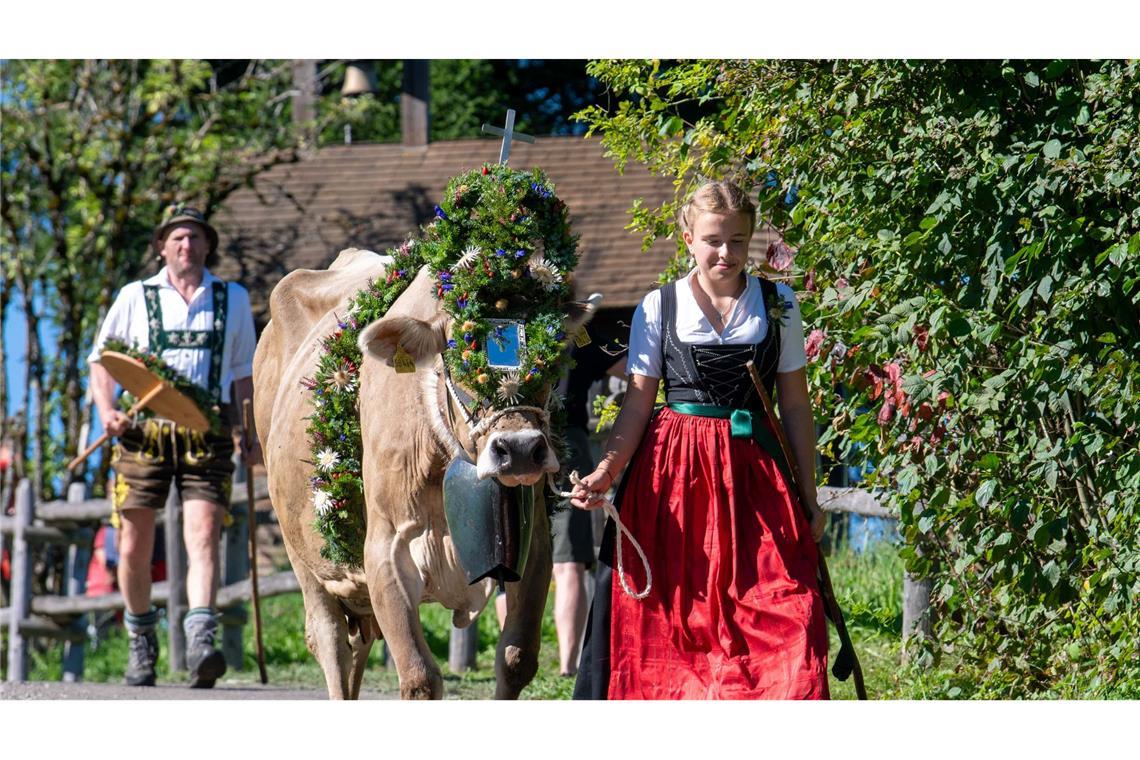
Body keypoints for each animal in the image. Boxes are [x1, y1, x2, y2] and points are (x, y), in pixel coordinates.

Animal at [251, 166, 597, 701]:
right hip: (303, 555)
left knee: (357, 648)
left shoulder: (535, 543)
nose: (519, 450)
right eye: (459, 347)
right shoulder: (385, 551)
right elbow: (418, 677)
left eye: (554, 350)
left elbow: (516, 658)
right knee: (329, 643)